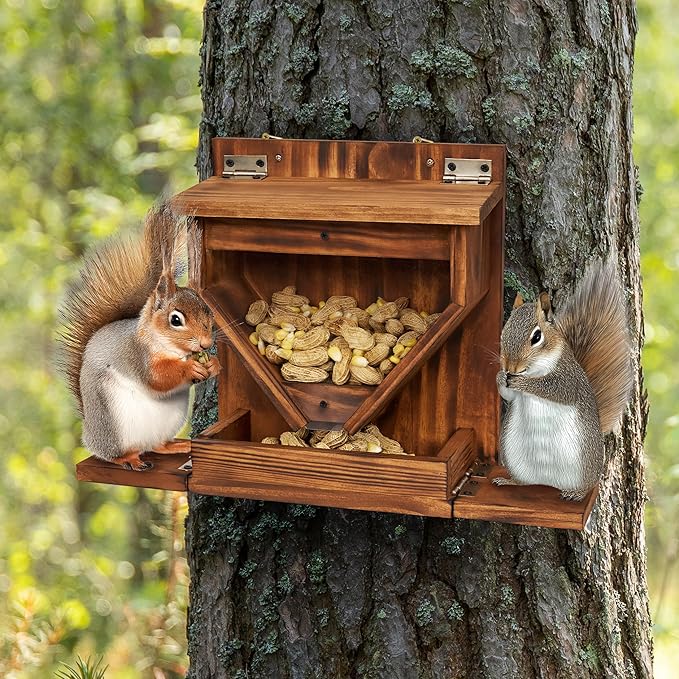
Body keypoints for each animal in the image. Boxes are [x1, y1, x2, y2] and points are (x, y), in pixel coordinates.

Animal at [57, 203, 220, 471]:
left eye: (208, 311)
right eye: (176, 320)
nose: (206, 344)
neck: (170, 348)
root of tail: (90, 434)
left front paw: (213, 365)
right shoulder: (137, 355)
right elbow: (157, 378)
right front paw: (190, 369)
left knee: (157, 445)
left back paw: (176, 446)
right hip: (112, 424)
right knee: (114, 453)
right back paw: (129, 459)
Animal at [494, 258, 633, 501]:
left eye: (536, 337)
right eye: (504, 331)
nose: (510, 367)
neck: (534, 370)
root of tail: (549, 482)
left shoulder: (569, 378)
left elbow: (556, 389)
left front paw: (523, 383)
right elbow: (509, 395)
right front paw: (501, 377)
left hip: (586, 465)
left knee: (588, 485)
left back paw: (576, 494)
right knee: (524, 481)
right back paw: (510, 481)